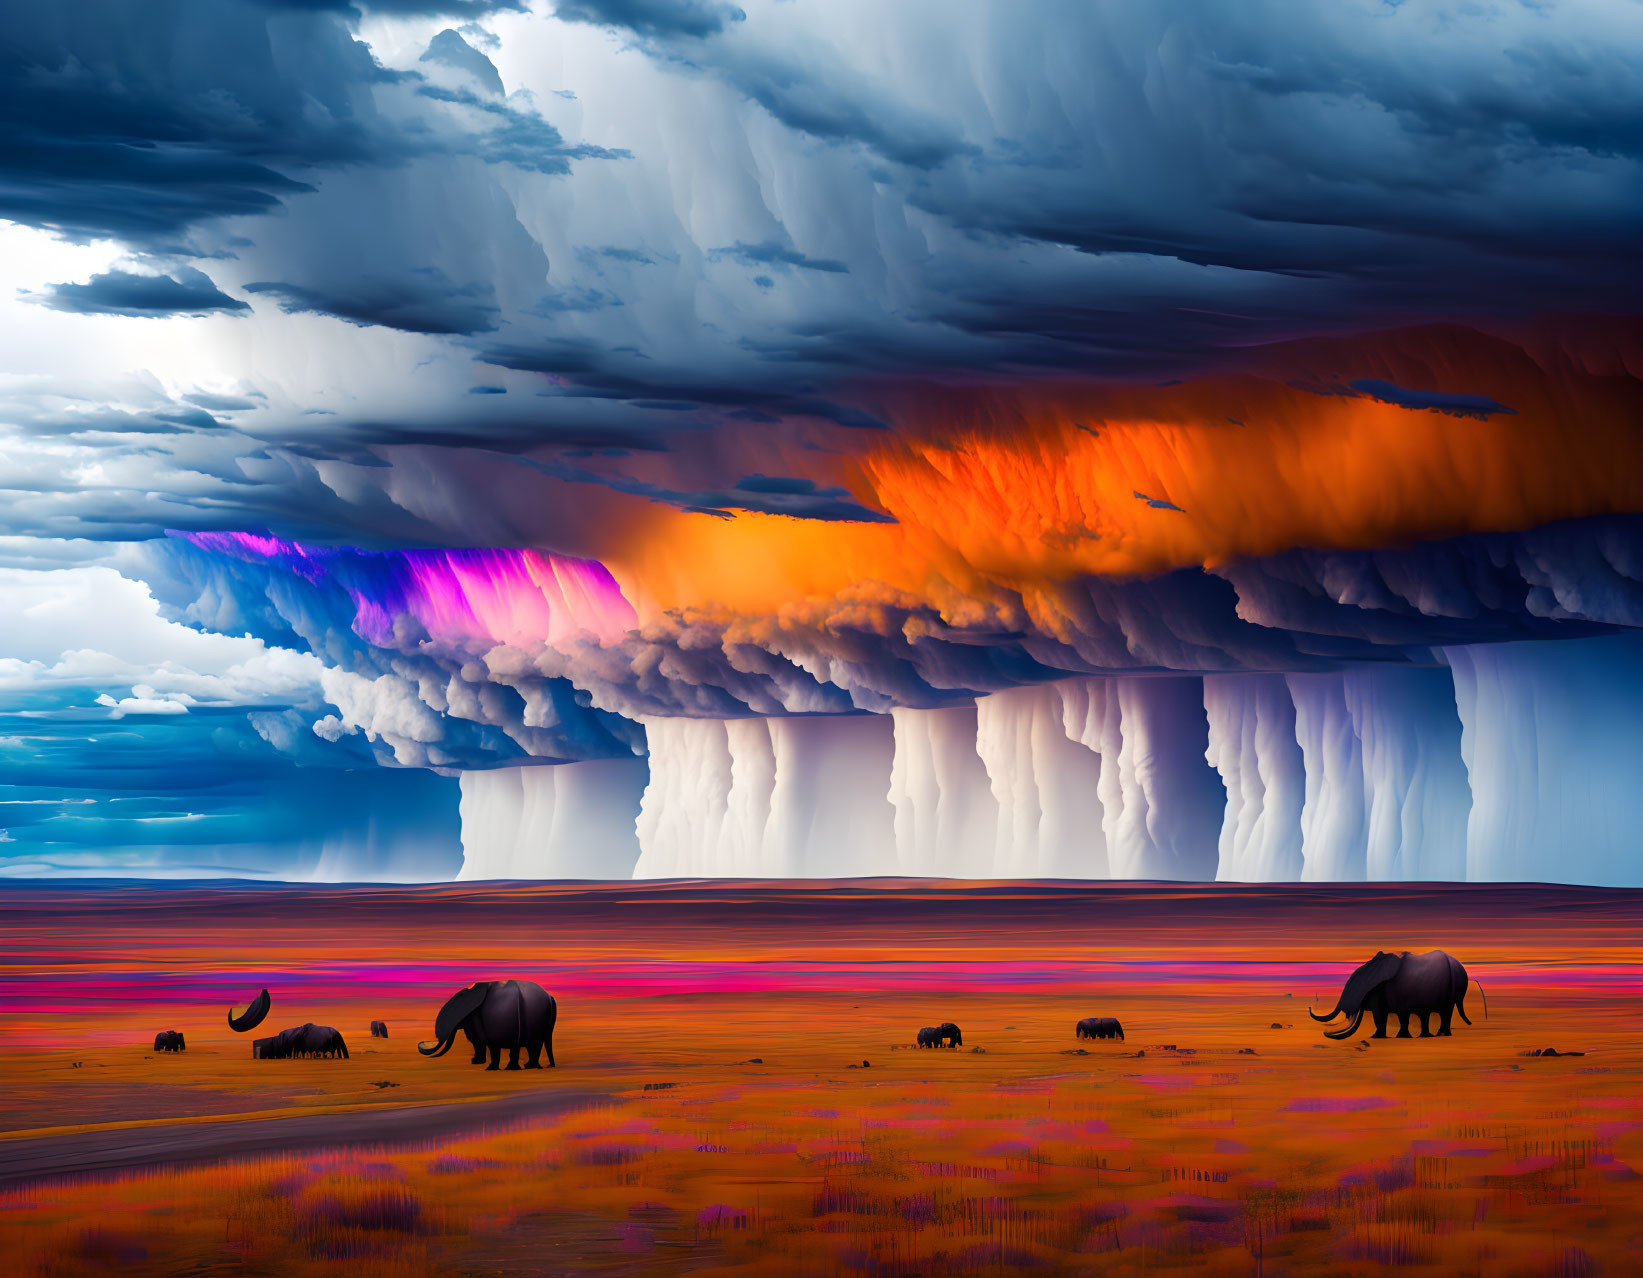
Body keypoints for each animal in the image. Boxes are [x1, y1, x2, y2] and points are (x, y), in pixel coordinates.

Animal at [417, 979, 558, 1064]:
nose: (422, 1042)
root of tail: (550, 997)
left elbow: (478, 1042)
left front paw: (476, 1061)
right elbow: (477, 1042)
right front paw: (476, 1061)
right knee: (536, 1044)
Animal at [1307, 946, 1491, 1038]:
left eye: (1357, 987)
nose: (1325, 1033)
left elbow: (1383, 1015)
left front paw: (1378, 1037)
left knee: (1445, 1010)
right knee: (1443, 1011)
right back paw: (1439, 1034)